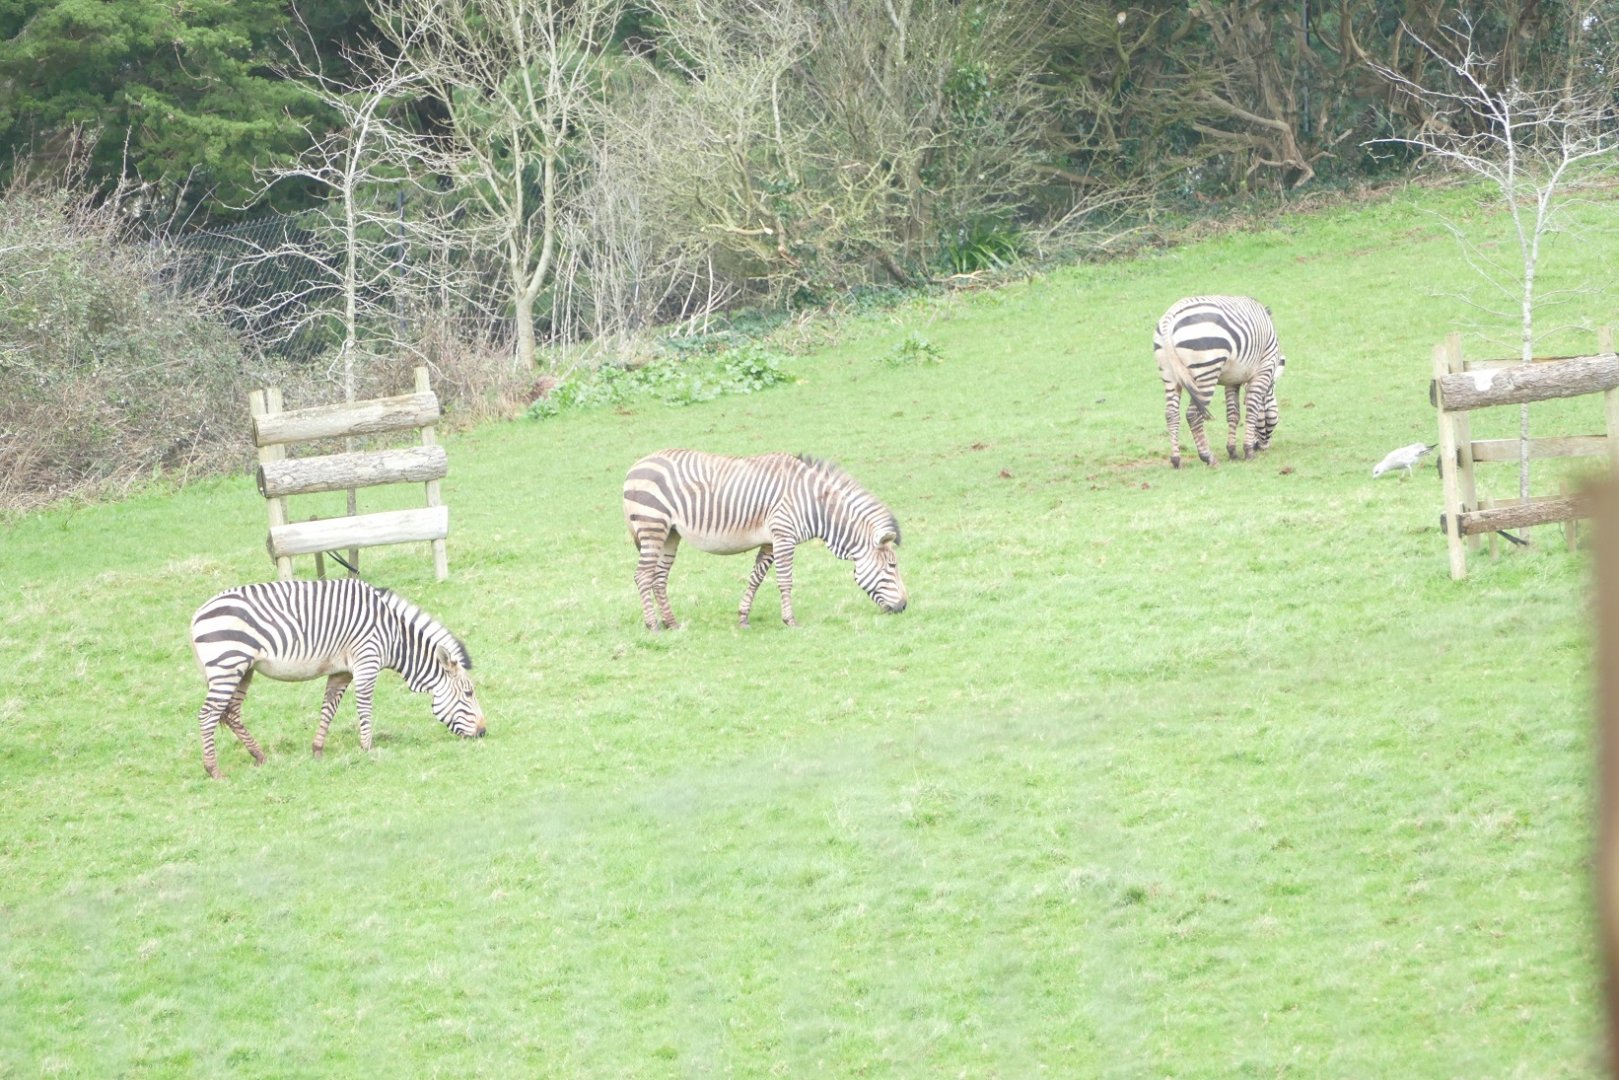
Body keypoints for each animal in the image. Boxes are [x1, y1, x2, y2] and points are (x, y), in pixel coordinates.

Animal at [188, 578, 484, 778]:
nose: (483, 733)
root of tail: (196, 615)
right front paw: (368, 748)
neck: (393, 636)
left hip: (243, 669)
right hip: (228, 664)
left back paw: (259, 756)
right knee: (208, 714)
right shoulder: (367, 661)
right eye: (469, 693)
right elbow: (364, 707)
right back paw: (214, 771)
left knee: (231, 713)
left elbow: (329, 707)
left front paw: (318, 750)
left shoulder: (342, 671)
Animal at [622, 449, 908, 629]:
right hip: (652, 525)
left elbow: (756, 578)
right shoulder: (784, 535)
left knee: (659, 577)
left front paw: (743, 617)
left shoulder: (770, 541)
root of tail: (634, 466)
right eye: (892, 567)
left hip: (670, 534)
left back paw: (672, 623)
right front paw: (790, 620)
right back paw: (652, 625)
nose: (904, 606)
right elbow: (785, 580)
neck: (816, 505)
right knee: (643, 576)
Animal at [1153, 295, 1286, 468]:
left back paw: (1176, 460)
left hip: (1169, 373)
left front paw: (1232, 452)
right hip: (1206, 371)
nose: (1262, 447)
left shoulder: (1232, 379)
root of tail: (1170, 318)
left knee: (1171, 414)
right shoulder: (1263, 370)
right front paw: (1248, 451)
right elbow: (1252, 407)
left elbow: (1233, 413)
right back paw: (1208, 457)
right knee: (1193, 415)